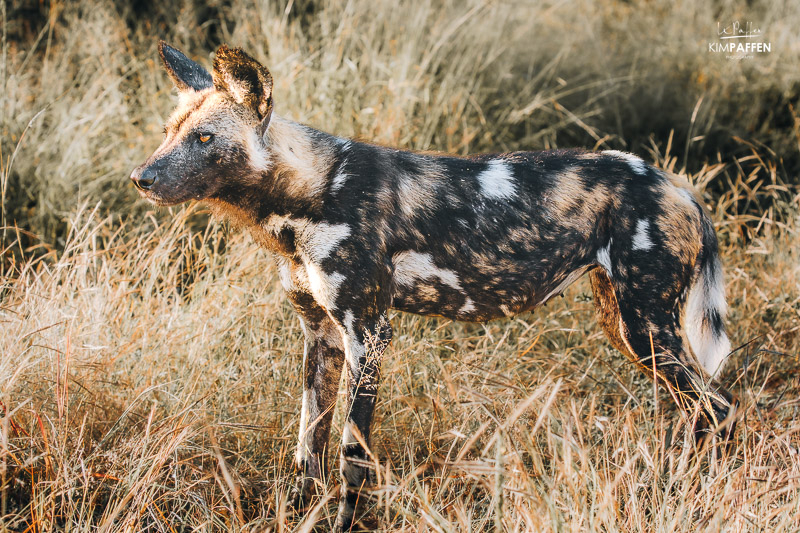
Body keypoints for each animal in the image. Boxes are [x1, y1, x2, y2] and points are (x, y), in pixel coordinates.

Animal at [130, 40, 736, 528]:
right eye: (167, 133)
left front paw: (345, 524)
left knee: (719, 407)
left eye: (205, 137)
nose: (141, 178)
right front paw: (301, 516)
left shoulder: (369, 335)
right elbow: (310, 446)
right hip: (628, 329)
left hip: (646, 330)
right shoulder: (321, 337)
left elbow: (352, 457)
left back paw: (697, 493)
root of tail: (678, 186)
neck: (308, 194)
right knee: (697, 411)